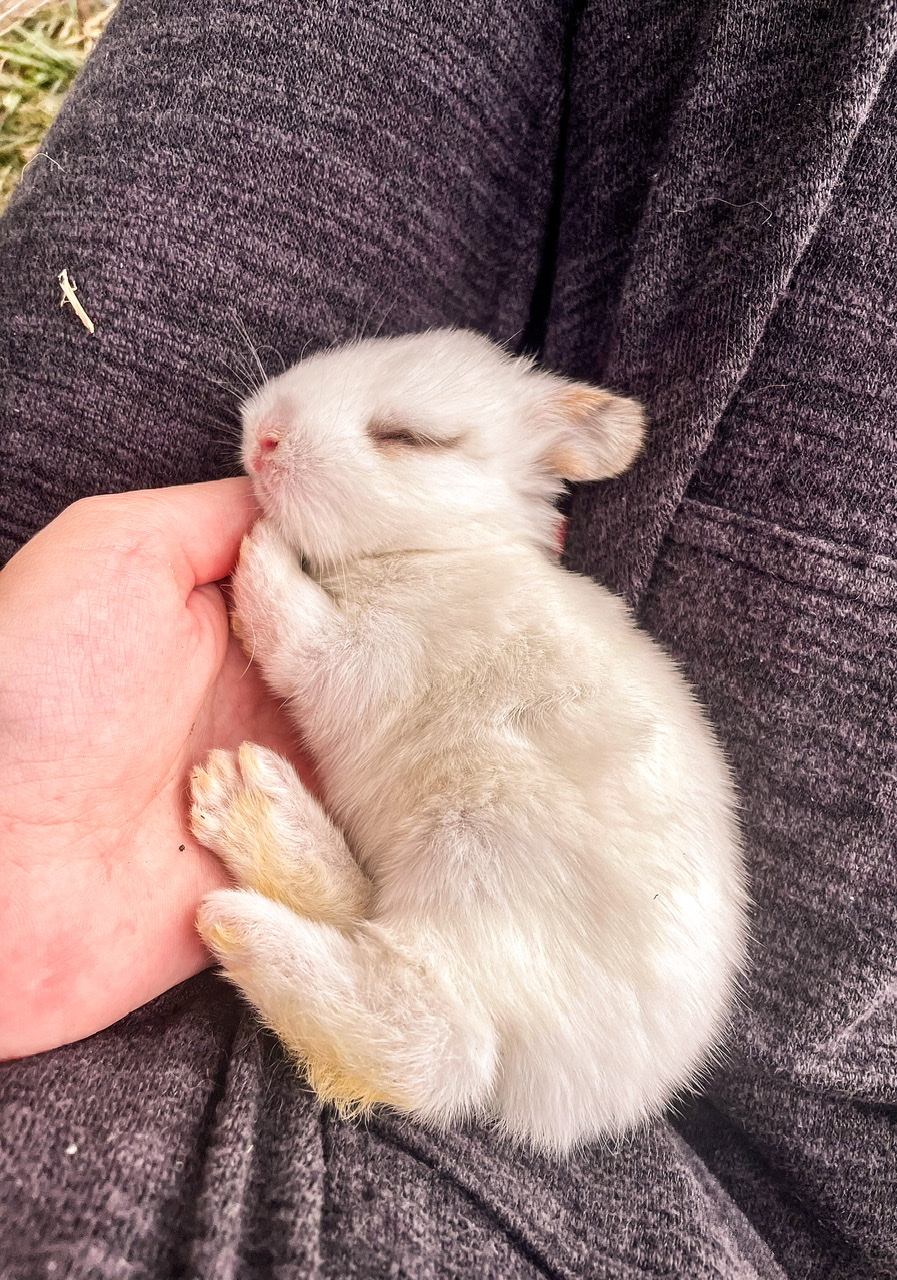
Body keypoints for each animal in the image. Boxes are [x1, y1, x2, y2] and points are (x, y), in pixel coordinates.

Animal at [189, 328, 747, 1154]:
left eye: (408, 438)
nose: (265, 436)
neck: (436, 554)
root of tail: (590, 1101)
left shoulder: (362, 655)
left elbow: (295, 631)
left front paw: (261, 545)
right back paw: (254, 803)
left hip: (476, 864)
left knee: (434, 1039)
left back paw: (242, 910)